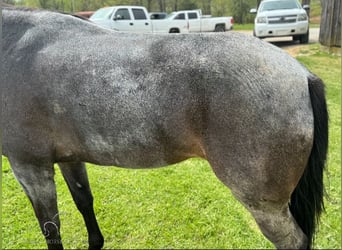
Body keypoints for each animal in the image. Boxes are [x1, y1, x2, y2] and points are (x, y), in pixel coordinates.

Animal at [2, 6, 328, 249]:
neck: (16, 46)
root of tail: (301, 74)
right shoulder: (68, 158)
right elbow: (84, 202)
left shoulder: (30, 166)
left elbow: (50, 227)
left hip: (264, 205)